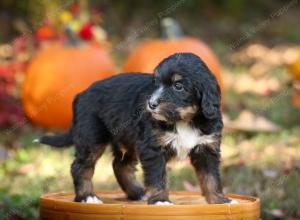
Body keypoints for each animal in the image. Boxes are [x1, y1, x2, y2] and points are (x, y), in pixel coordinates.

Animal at [35, 52, 232, 205]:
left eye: (178, 86)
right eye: (156, 83)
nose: (151, 104)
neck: (184, 120)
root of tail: (80, 94)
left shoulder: (207, 148)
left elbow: (211, 177)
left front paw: (219, 200)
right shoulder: (153, 148)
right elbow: (158, 178)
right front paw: (160, 200)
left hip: (127, 140)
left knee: (120, 166)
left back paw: (138, 193)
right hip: (92, 137)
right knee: (81, 167)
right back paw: (87, 197)